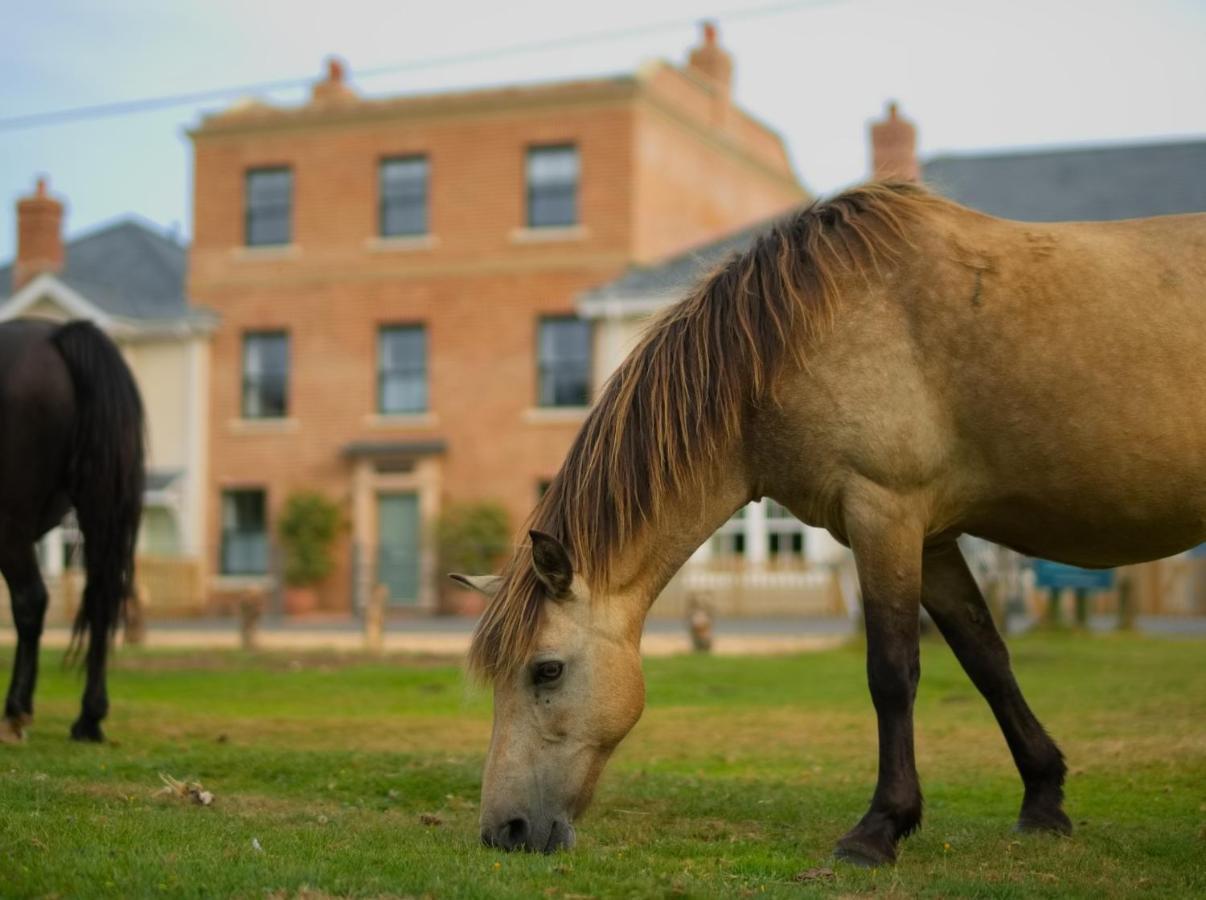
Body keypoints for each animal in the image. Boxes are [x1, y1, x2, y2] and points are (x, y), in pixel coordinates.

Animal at [0, 318, 144, 738]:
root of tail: (56, 335)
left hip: (10, 521)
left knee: (31, 600)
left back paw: (16, 710)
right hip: (99, 512)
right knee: (100, 599)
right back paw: (88, 718)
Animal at [453, 182, 1206, 863]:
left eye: (547, 671)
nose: (504, 832)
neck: (804, 333)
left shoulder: (885, 513)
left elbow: (893, 671)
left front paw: (880, 829)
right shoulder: (931, 537)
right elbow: (987, 658)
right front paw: (1043, 800)